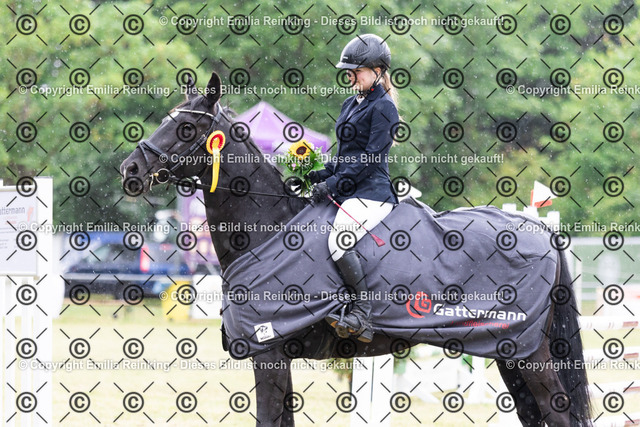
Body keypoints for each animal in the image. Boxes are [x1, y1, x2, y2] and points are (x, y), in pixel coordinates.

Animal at [120, 71, 592, 427]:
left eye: (187, 128)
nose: (130, 170)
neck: (269, 231)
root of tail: (540, 229)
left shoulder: (267, 350)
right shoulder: (276, 356)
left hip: (529, 351)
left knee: (558, 412)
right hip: (510, 350)